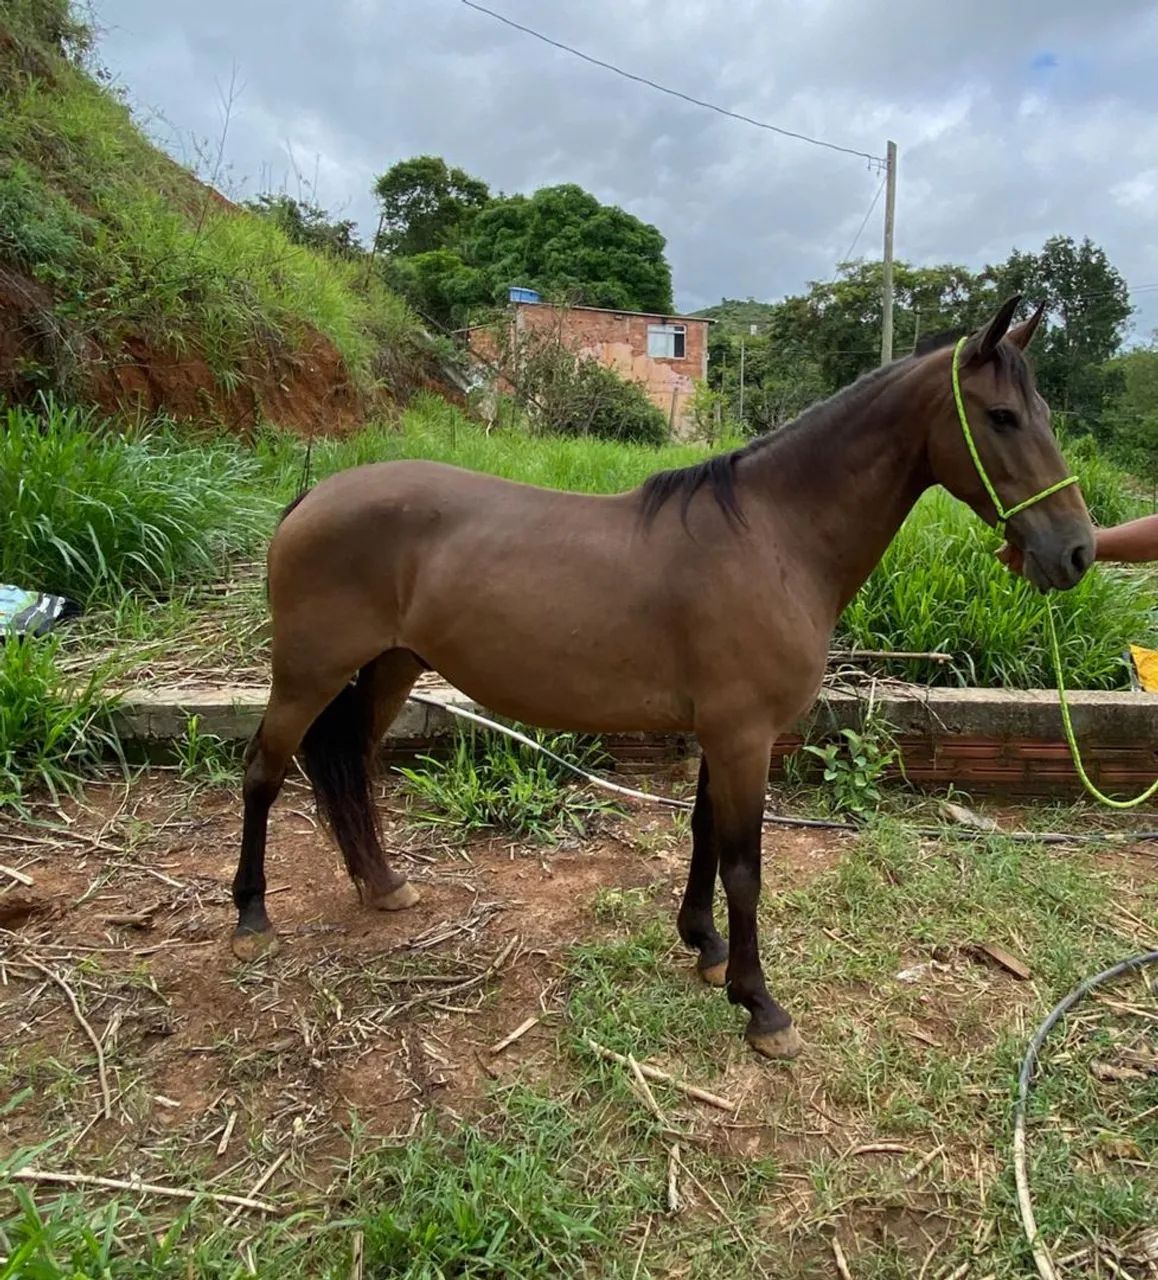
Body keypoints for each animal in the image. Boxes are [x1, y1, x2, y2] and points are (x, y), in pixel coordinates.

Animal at [229, 295, 1094, 1059]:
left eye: (1046, 412)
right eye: (1002, 416)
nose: (1078, 551)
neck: (772, 536)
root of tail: (313, 495)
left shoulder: (723, 732)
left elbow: (705, 837)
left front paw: (704, 947)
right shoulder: (744, 736)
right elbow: (744, 867)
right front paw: (761, 1006)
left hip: (389, 669)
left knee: (347, 763)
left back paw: (381, 885)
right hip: (309, 673)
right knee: (264, 770)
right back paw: (250, 916)